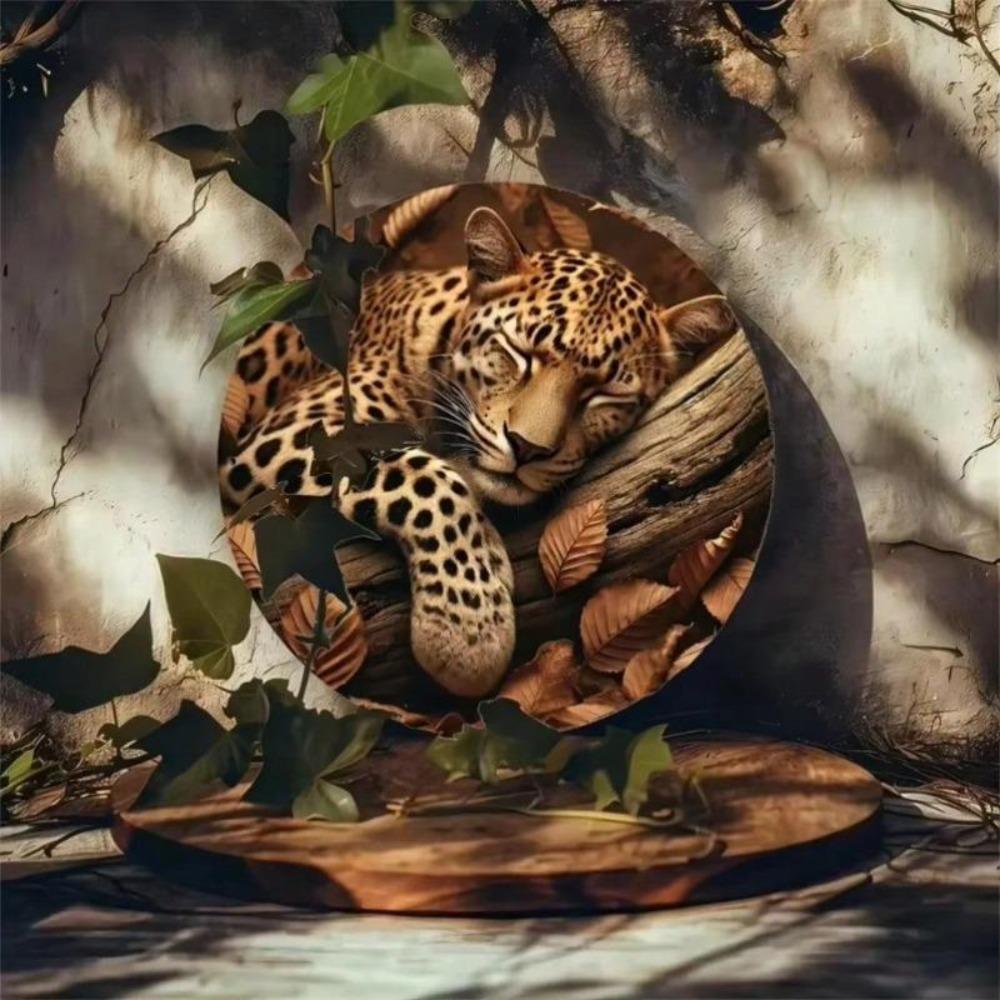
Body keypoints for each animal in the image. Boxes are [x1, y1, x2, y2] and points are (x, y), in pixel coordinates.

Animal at [220, 206, 736, 699]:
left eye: (604, 394)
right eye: (520, 353)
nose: (527, 447)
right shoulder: (289, 438)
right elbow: (424, 478)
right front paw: (467, 632)